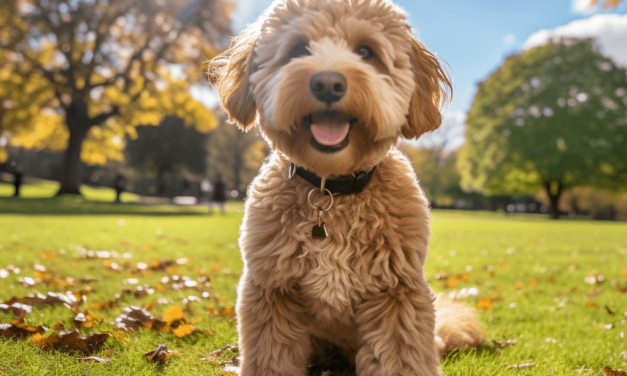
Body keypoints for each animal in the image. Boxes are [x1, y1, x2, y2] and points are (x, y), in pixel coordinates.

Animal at [209, 0, 484, 374]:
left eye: (365, 51)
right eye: (299, 49)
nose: (327, 83)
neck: (332, 191)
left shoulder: (396, 294)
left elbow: (399, 360)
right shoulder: (271, 290)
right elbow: (272, 359)